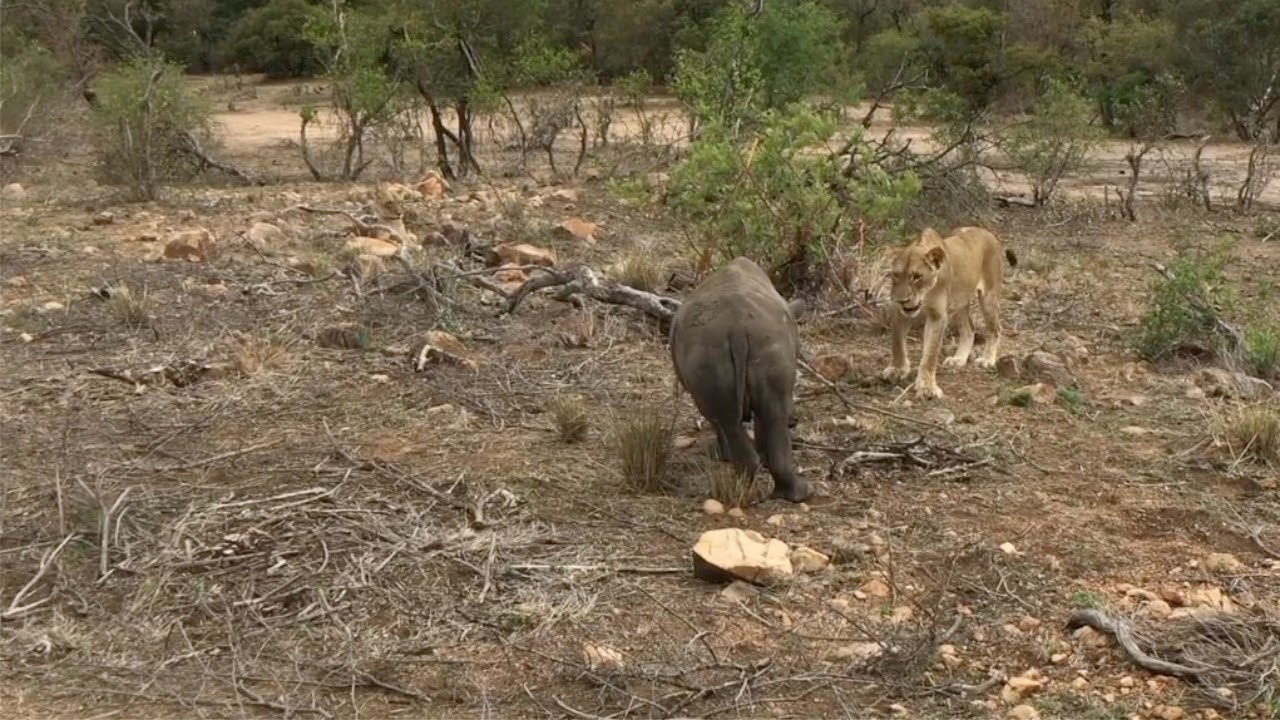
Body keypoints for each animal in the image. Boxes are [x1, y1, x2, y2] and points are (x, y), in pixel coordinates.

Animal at [669, 257, 810, 502]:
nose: (796, 421)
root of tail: (737, 329)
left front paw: (724, 456)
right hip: (762, 343)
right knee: (770, 415)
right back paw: (793, 494)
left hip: (715, 348)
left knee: (729, 419)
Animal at [879, 226, 1017, 399]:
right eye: (895, 275)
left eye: (917, 276)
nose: (901, 300)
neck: (926, 295)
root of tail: (988, 232)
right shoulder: (898, 311)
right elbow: (897, 342)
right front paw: (897, 370)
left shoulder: (938, 316)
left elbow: (931, 353)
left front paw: (927, 387)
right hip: (958, 303)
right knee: (969, 329)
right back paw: (958, 359)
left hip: (988, 297)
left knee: (995, 329)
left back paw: (987, 360)